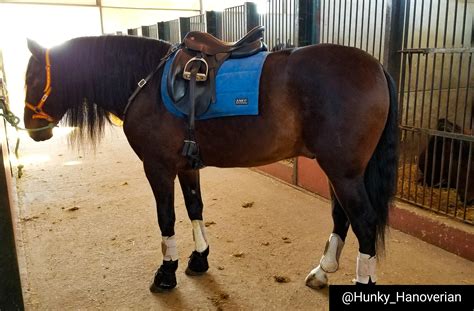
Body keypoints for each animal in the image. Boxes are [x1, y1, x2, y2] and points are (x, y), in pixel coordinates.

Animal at [24, 35, 398, 294]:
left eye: (32, 79)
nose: (31, 128)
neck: (145, 83)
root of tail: (377, 66)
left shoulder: (157, 167)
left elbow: (166, 218)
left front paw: (166, 273)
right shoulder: (186, 166)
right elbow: (194, 208)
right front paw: (199, 258)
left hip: (343, 172)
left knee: (363, 221)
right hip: (340, 170)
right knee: (342, 216)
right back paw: (322, 271)